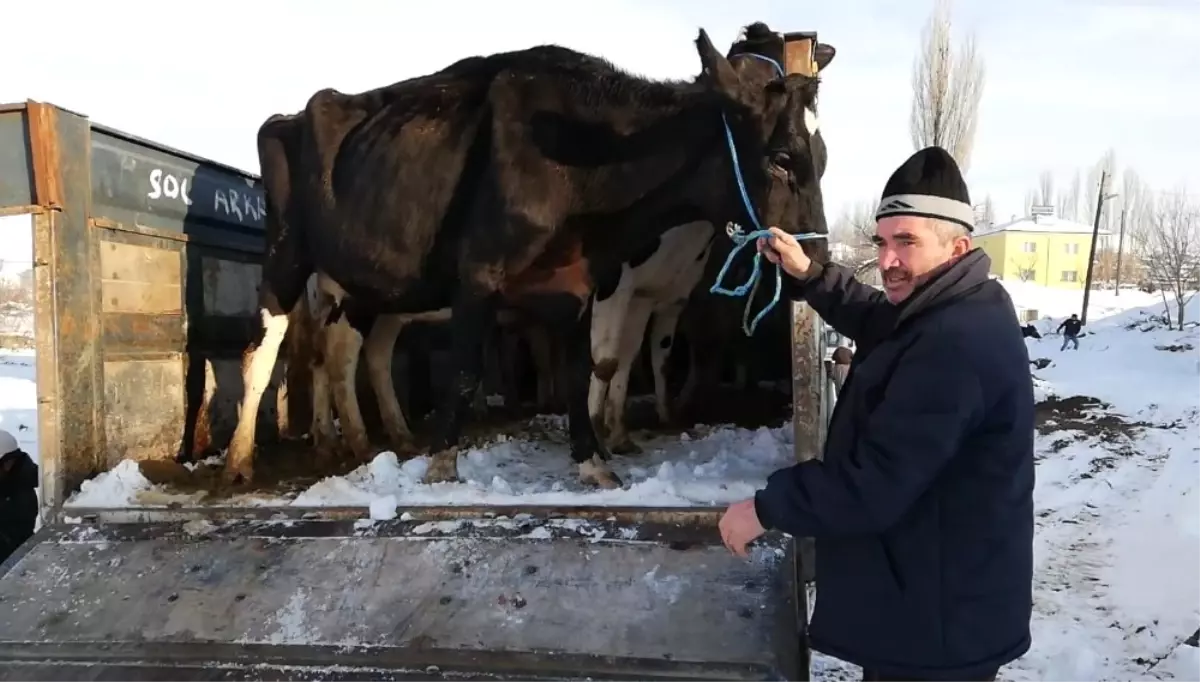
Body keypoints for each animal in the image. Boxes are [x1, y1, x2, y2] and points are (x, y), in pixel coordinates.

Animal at [225, 24, 830, 487]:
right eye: (781, 158)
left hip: (365, 285)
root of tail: (293, 113)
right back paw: (240, 459)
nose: (816, 260)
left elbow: (583, 368)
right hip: (287, 254)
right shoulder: (478, 274)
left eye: (820, 156)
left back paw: (368, 439)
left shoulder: (580, 284)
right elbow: (465, 371)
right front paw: (442, 465)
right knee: (265, 350)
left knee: (349, 352)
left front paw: (592, 461)